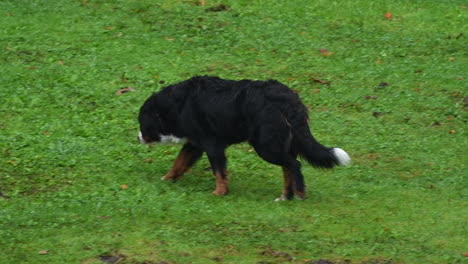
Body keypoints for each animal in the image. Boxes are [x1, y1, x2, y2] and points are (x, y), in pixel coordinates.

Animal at [137, 76, 350, 200]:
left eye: (141, 122)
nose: (138, 138)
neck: (178, 104)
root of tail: (289, 99)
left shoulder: (212, 145)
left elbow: (219, 172)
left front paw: (220, 192)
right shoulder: (195, 144)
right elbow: (179, 163)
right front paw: (167, 178)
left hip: (266, 146)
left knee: (294, 165)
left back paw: (299, 194)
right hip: (279, 144)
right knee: (288, 167)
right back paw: (286, 196)